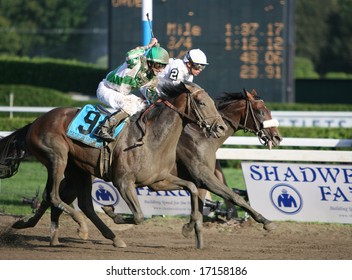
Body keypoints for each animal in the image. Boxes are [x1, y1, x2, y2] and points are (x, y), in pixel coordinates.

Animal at [11, 88, 282, 246]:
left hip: (77, 169)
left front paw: (192, 230)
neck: (198, 134)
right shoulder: (203, 175)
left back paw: (42, 231)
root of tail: (35, 121)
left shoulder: (186, 177)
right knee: (55, 196)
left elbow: (201, 198)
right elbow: (234, 197)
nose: (277, 137)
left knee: (60, 198)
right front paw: (266, 221)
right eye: (261, 110)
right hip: (60, 160)